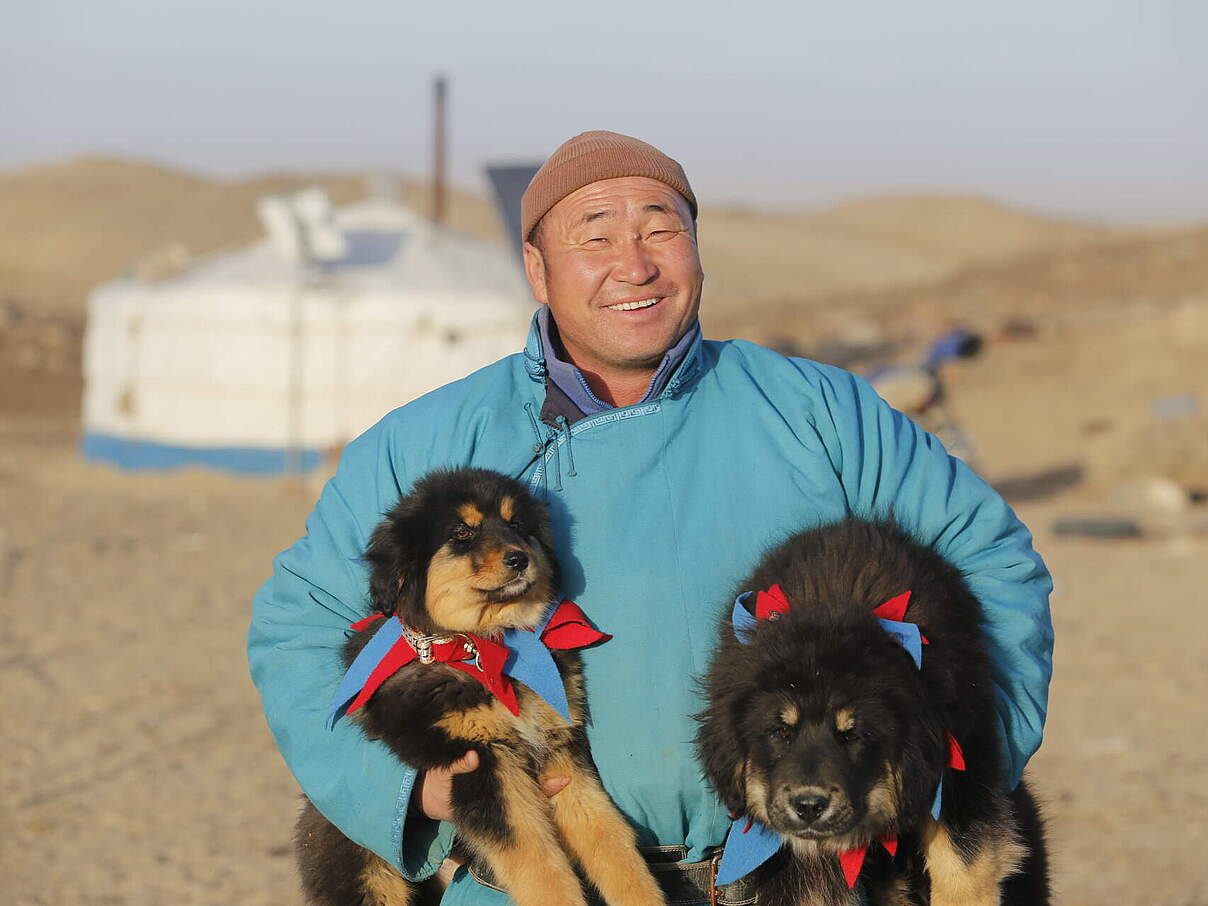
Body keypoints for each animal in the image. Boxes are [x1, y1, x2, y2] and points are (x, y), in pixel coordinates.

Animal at [295, 468, 666, 906]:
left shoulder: (560, 746)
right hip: (367, 871)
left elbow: (609, 838)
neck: (484, 645)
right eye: (461, 533)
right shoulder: (479, 760)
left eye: (518, 525)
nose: (519, 558)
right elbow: (537, 859)